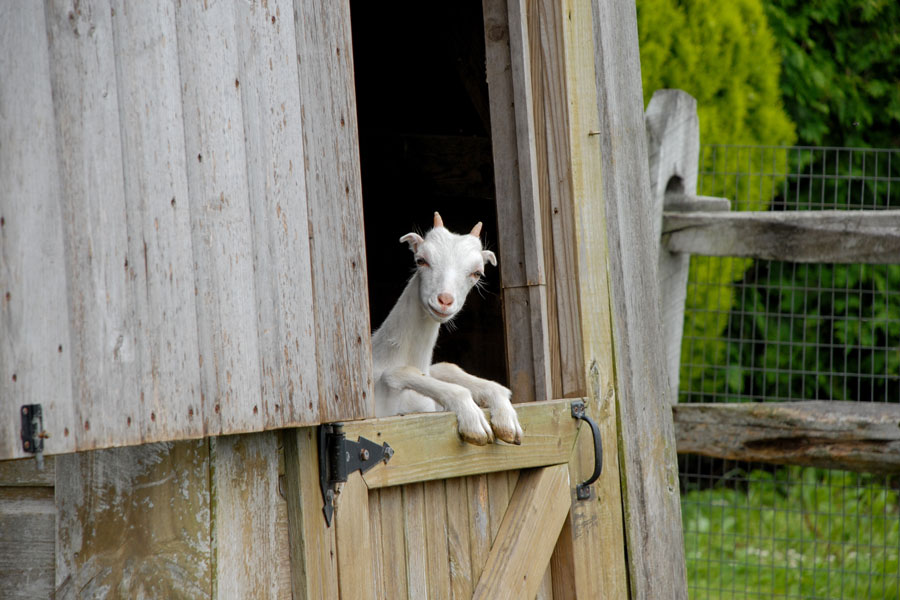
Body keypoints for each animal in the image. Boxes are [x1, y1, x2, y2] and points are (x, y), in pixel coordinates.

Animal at [372, 212, 523, 445]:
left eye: (477, 273)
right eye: (421, 260)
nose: (444, 301)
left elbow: (448, 368)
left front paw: (507, 419)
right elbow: (397, 373)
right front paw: (474, 422)